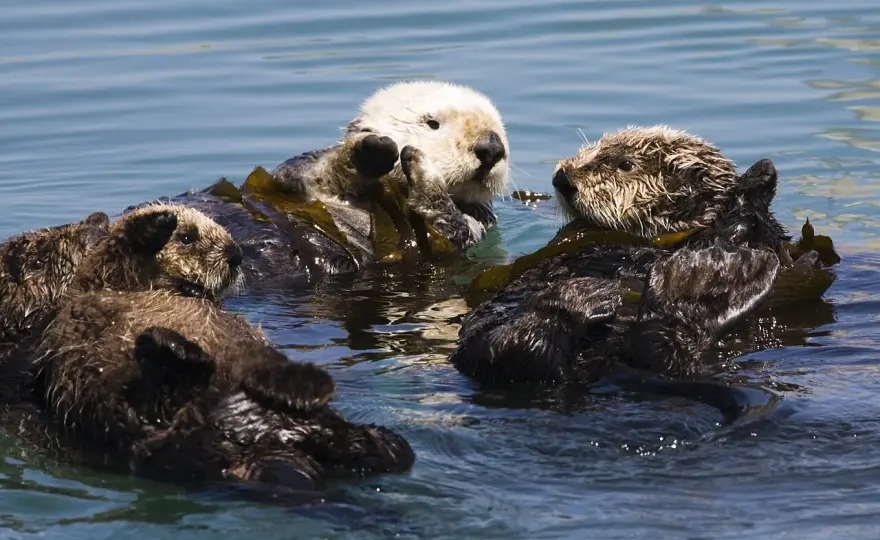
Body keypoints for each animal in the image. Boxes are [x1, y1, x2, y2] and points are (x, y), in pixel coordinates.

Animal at [138, 80, 510, 282]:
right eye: (432, 123)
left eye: (500, 126)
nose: (491, 147)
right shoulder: (296, 176)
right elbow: (317, 168)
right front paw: (373, 150)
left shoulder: (473, 227)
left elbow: (446, 227)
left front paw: (422, 170)